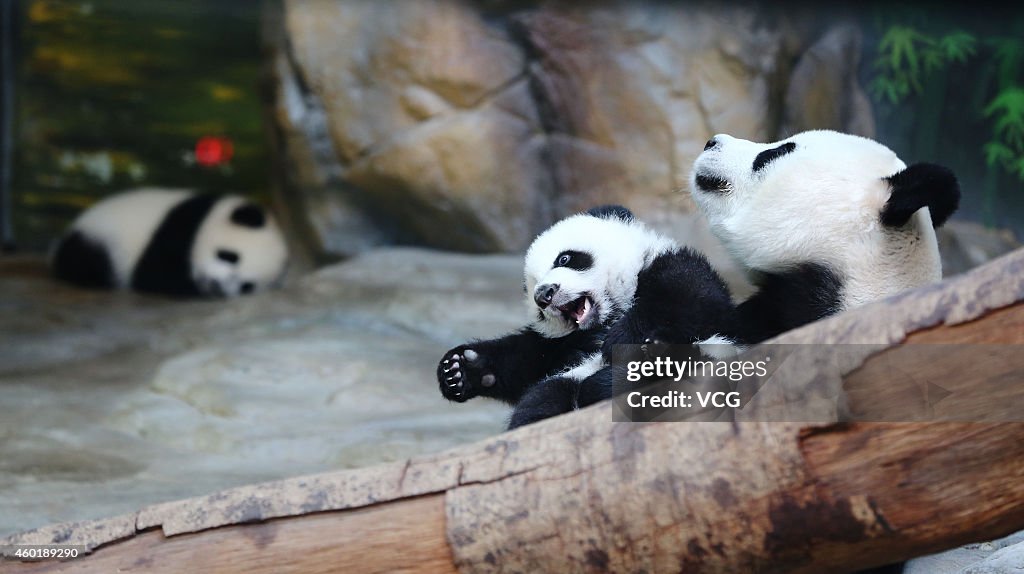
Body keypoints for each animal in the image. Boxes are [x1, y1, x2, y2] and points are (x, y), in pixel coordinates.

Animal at [54, 188, 290, 294]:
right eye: (229, 256)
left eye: (246, 286)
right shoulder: (179, 226)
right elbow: (154, 273)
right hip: (100, 239)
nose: (215, 285)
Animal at [434, 203, 737, 427]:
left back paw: (657, 358)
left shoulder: (672, 268)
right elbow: (525, 361)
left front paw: (621, 338)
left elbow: (692, 300)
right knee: (545, 399)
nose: (544, 294)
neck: (605, 319)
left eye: (565, 259)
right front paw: (461, 368)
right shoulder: (559, 347)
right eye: (532, 285)